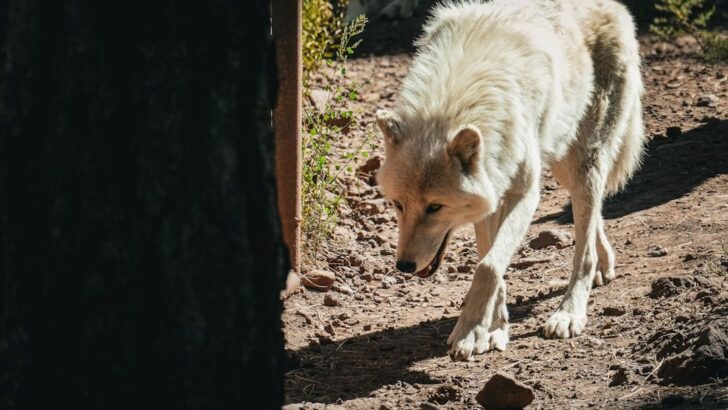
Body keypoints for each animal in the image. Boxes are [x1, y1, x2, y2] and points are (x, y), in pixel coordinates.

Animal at [375, 0, 644, 361]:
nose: (403, 265)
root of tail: (616, 7)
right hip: (563, 163)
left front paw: (469, 333)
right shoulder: (490, 194)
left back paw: (569, 313)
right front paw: (493, 329)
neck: (457, 98)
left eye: (434, 207)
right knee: (590, 214)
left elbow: (488, 266)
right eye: (398, 205)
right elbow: (491, 263)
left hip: (581, 160)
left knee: (583, 248)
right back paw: (604, 264)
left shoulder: (524, 195)